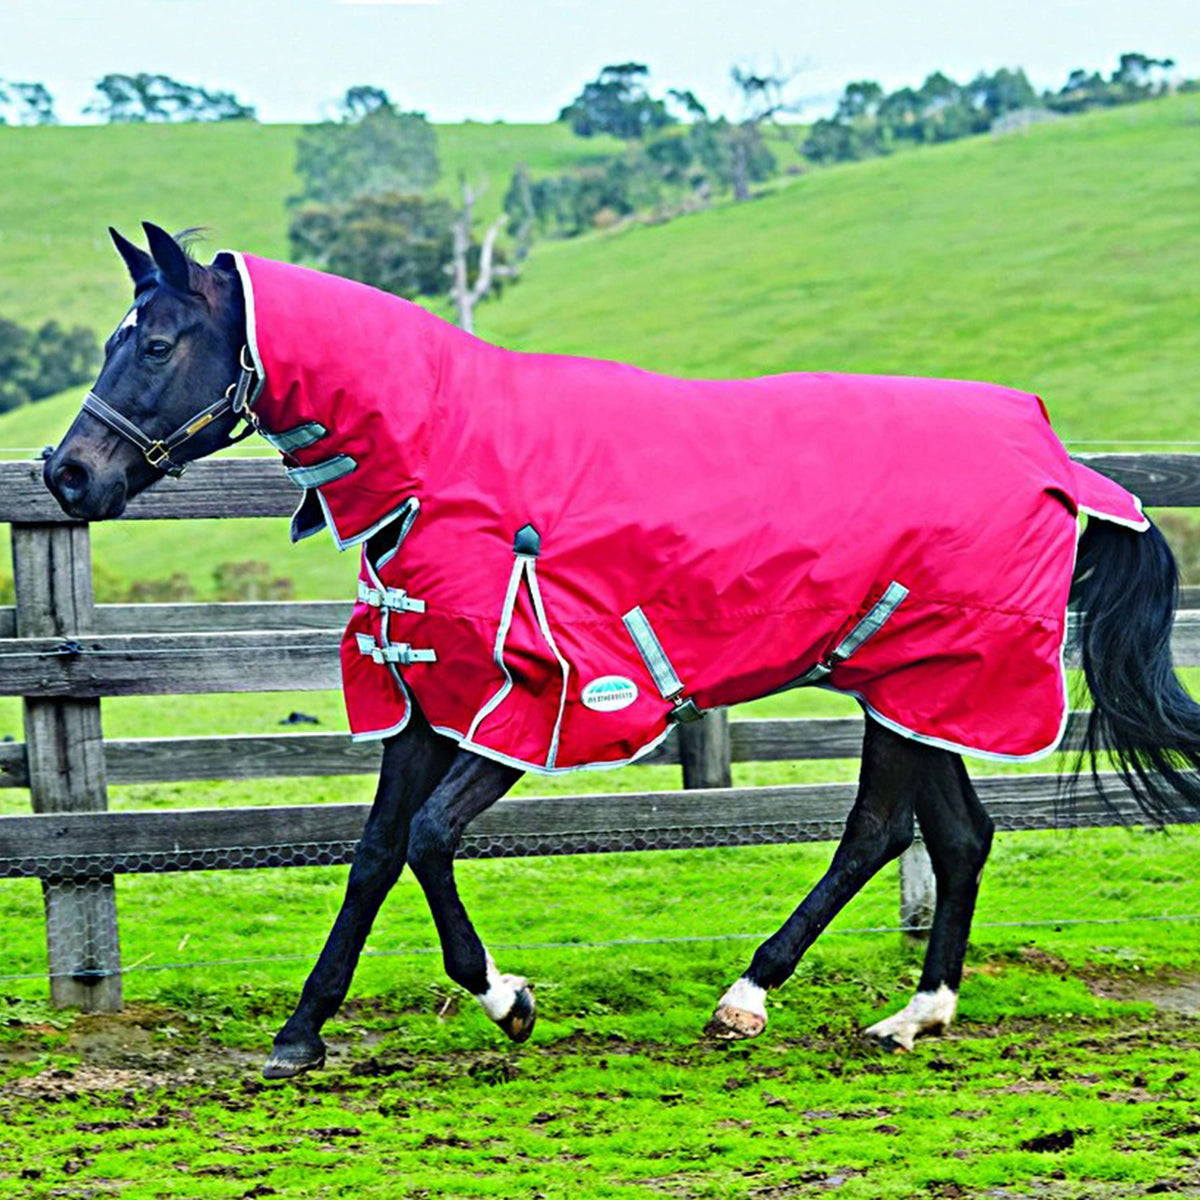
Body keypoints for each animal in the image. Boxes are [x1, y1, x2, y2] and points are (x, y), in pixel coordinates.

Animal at [39, 223, 1200, 1080]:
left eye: (153, 344)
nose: (66, 474)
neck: (446, 456)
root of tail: (1058, 459)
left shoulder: (536, 706)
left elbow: (426, 839)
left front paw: (507, 1000)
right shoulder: (425, 699)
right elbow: (372, 855)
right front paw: (299, 1035)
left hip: (924, 685)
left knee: (877, 834)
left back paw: (748, 999)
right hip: (912, 690)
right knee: (956, 837)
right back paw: (914, 1016)